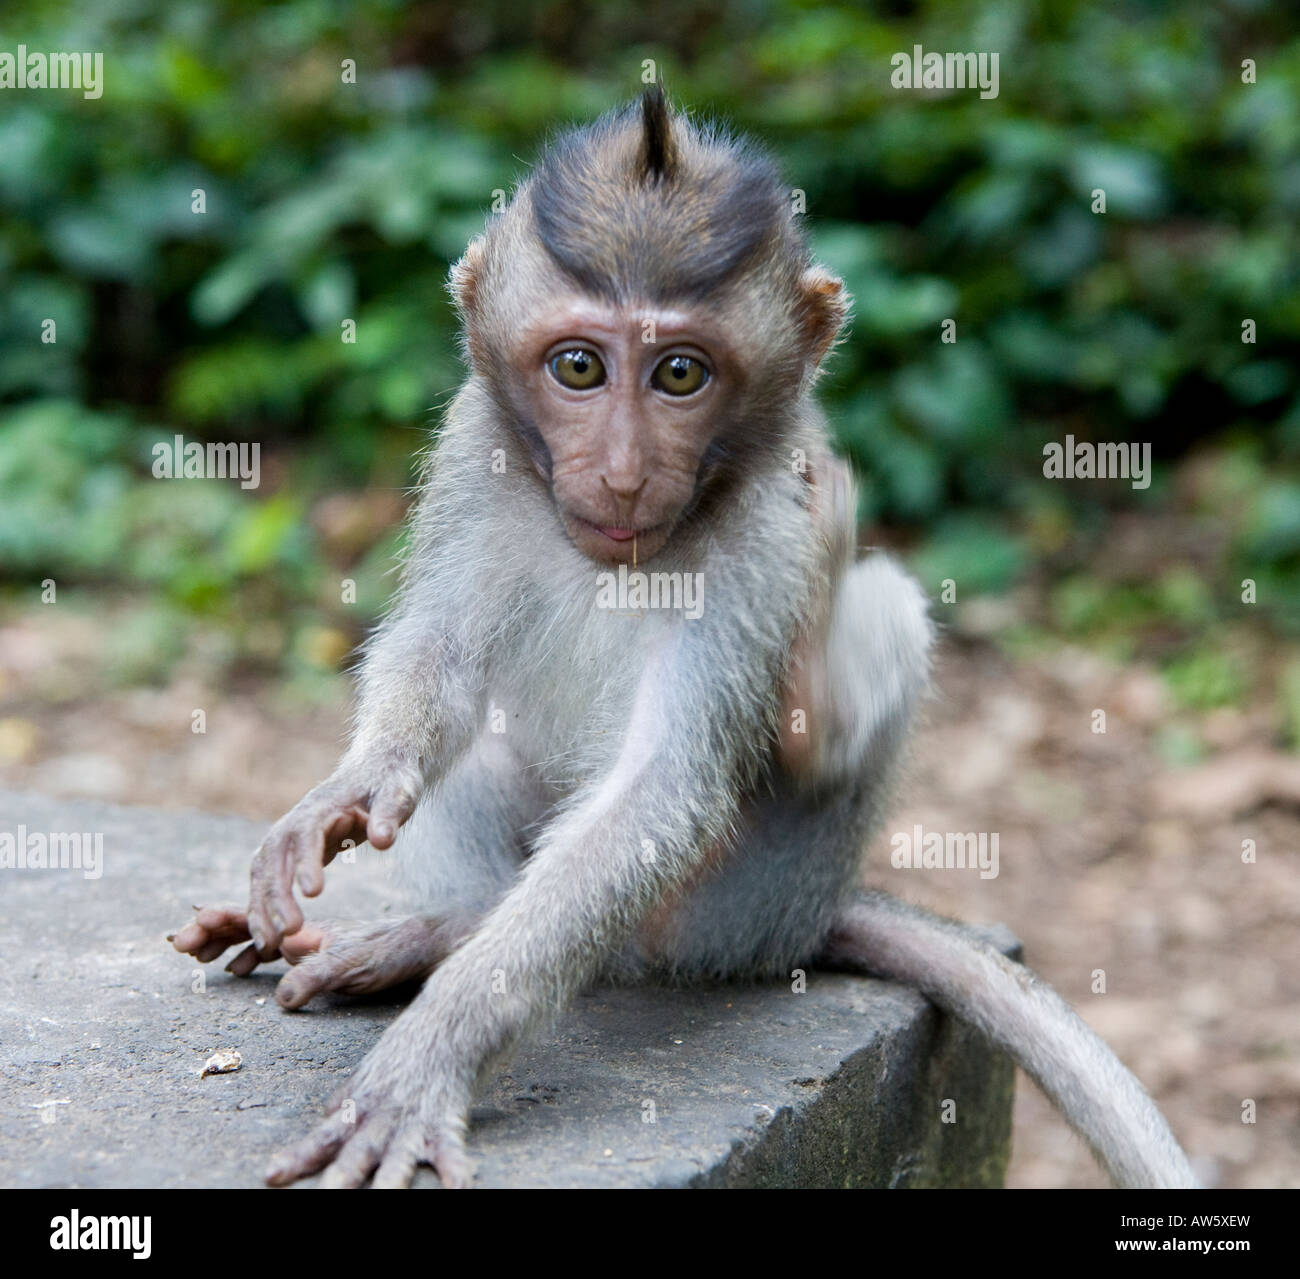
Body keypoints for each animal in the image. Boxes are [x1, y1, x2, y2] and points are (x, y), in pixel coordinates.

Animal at [172, 87, 1196, 1190]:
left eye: (679, 373)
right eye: (580, 366)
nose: (623, 475)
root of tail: (812, 915)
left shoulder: (767, 526)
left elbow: (660, 792)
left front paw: (430, 1053)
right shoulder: (471, 447)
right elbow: (437, 659)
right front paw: (348, 792)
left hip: (737, 907)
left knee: (875, 614)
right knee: (483, 755)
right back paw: (437, 929)